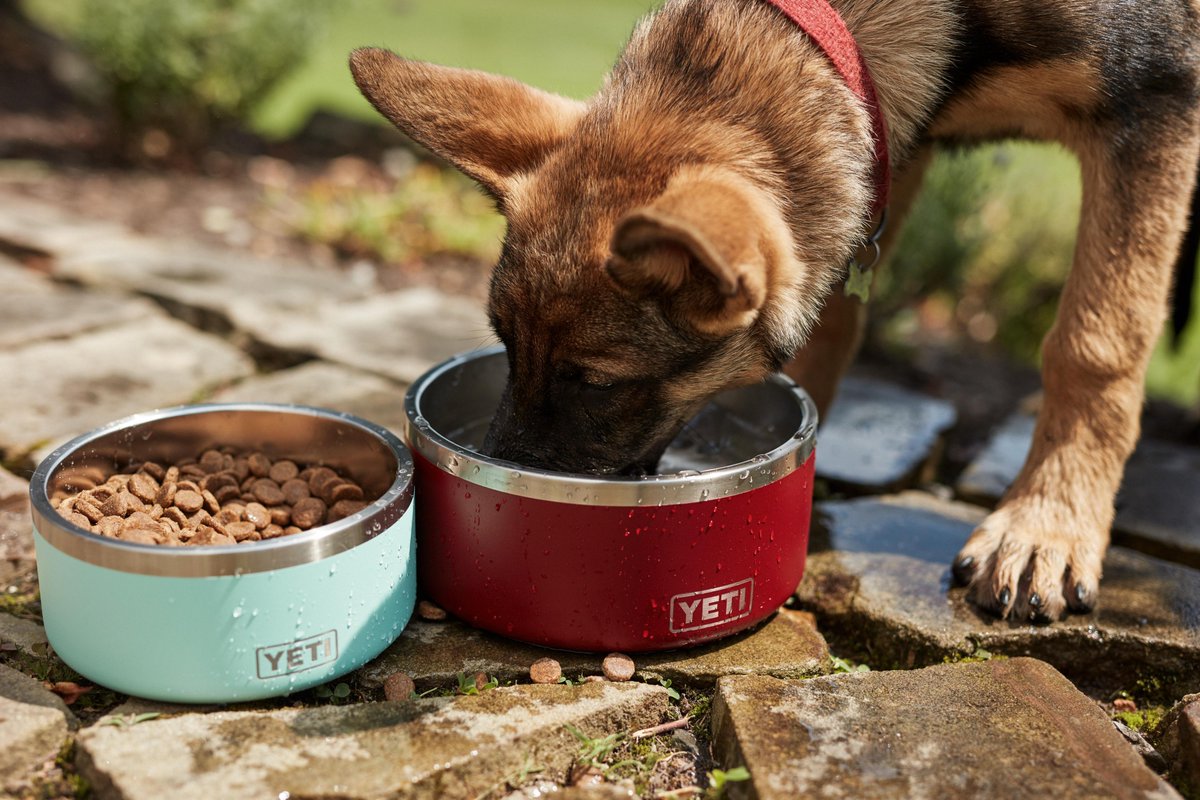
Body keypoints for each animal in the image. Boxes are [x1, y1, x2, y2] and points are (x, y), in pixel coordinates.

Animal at [350, 0, 1200, 623]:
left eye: (596, 382)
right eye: (503, 343)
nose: (497, 482)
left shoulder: (1155, 107)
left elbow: (1096, 338)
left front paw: (1048, 522)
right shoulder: (882, 144)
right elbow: (832, 320)